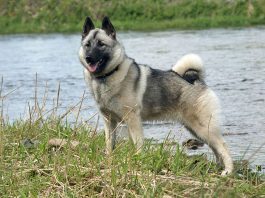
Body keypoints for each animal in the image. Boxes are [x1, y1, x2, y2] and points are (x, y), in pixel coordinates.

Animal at [79, 16, 233, 175]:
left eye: (101, 44)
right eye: (87, 45)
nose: (88, 57)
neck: (107, 76)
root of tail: (195, 79)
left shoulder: (133, 120)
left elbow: (138, 145)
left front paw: (138, 163)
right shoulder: (109, 122)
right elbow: (110, 145)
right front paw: (109, 162)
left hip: (202, 127)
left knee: (222, 145)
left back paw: (228, 171)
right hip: (195, 129)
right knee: (215, 148)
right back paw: (218, 167)